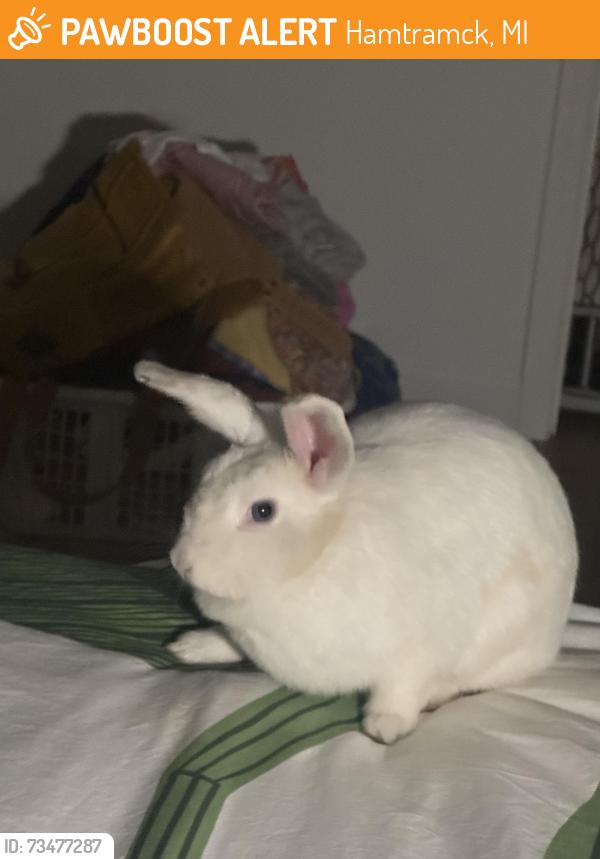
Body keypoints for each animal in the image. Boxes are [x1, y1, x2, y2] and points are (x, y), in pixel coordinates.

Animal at [134, 360, 578, 744]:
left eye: (262, 511)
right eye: (202, 483)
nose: (181, 562)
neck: (314, 559)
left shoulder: (414, 651)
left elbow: (400, 688)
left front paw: (385, 728)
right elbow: (233, 641)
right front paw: (192, 645)